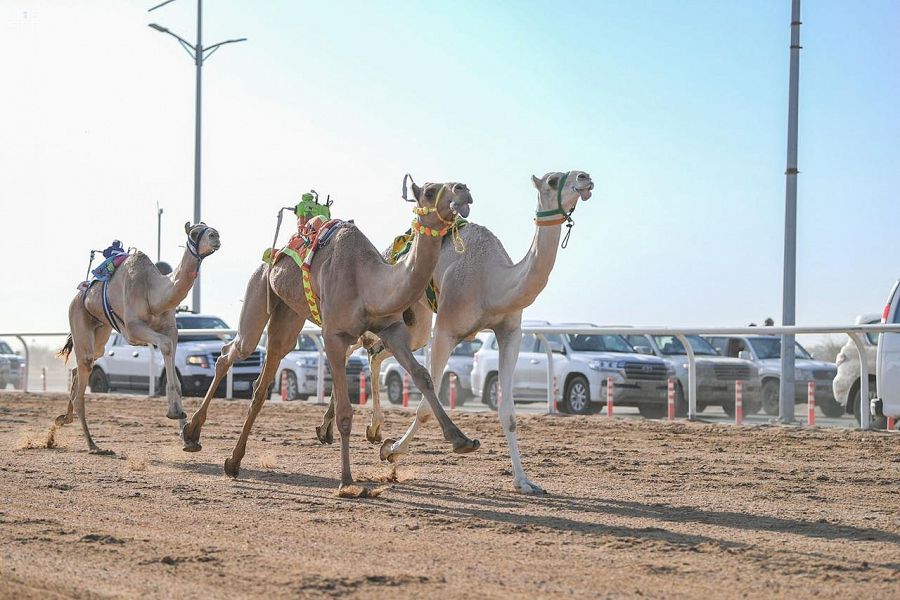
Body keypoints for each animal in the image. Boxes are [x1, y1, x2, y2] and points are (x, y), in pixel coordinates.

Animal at [56, 223, 221, 452]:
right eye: (195, 233)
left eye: (209, 229)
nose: (216, 236)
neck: (154, 294)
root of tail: (80, 294)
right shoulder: (133, 330)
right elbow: (165, 346)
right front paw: (175, 413)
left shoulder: (171, 330)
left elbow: (172, 356)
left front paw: (188, 438)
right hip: (78, 315)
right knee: (85, 368)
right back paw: (93, 444)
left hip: (101, 330)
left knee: (79, 366)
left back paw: (65, 418)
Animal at [318, 169, 596, 492]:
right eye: (552, 180)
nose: (585, 177)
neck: (493, 283)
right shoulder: (446, 332)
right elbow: (425, 406)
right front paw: (392, 450)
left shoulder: (510, 332)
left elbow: (508, 411)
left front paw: (524, 482)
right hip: (390, 310)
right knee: (352, 345)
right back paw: (330, 427)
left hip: (416, 324)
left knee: (374, 353)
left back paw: (369, 429)